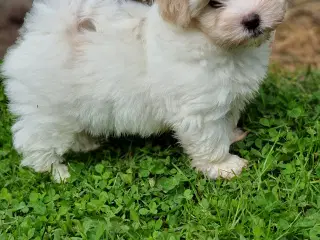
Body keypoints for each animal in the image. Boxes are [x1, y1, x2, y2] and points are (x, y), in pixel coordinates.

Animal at [1, 0, 288, 182]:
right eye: (213, 4)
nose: (252, 20)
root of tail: (43, 34)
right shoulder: (199, 110)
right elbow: (209, 139)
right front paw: (223, 166)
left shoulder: (229, 100)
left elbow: (227, 122)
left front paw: (232, 136)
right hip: (47, 113)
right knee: (33, 139)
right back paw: (54, 170)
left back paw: (86, 143)